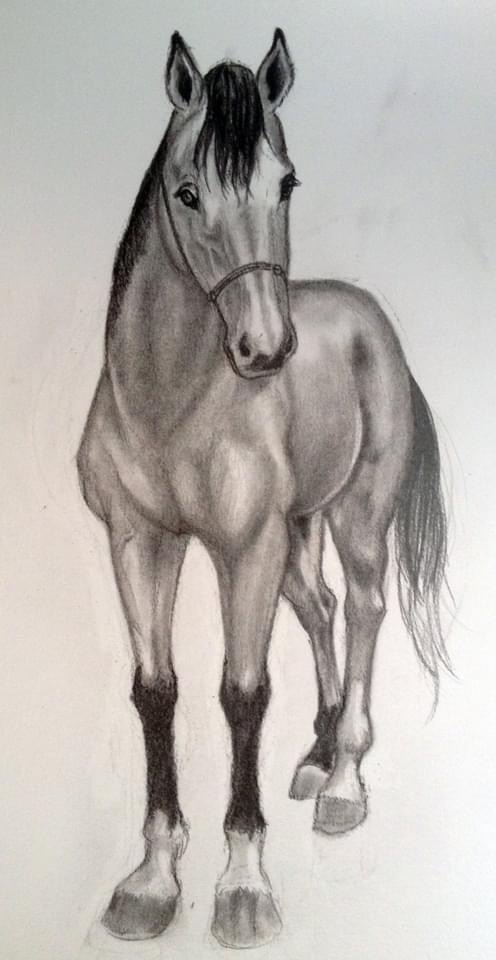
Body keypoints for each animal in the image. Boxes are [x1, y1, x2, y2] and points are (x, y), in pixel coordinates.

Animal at [77, 28, 450, 949]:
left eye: (285, 182)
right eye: (187, 192)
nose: (266, 348)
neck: (169, 402)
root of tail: (370, 322)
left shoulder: (244, 550)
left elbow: (242, 695)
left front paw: (243, 887)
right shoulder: (139, 542)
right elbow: (156, 692)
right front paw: (151, 879)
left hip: (354, 521)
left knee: (363, 610)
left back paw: (346, 777)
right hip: (296, 535)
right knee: (320, 610)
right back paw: (317, 755)